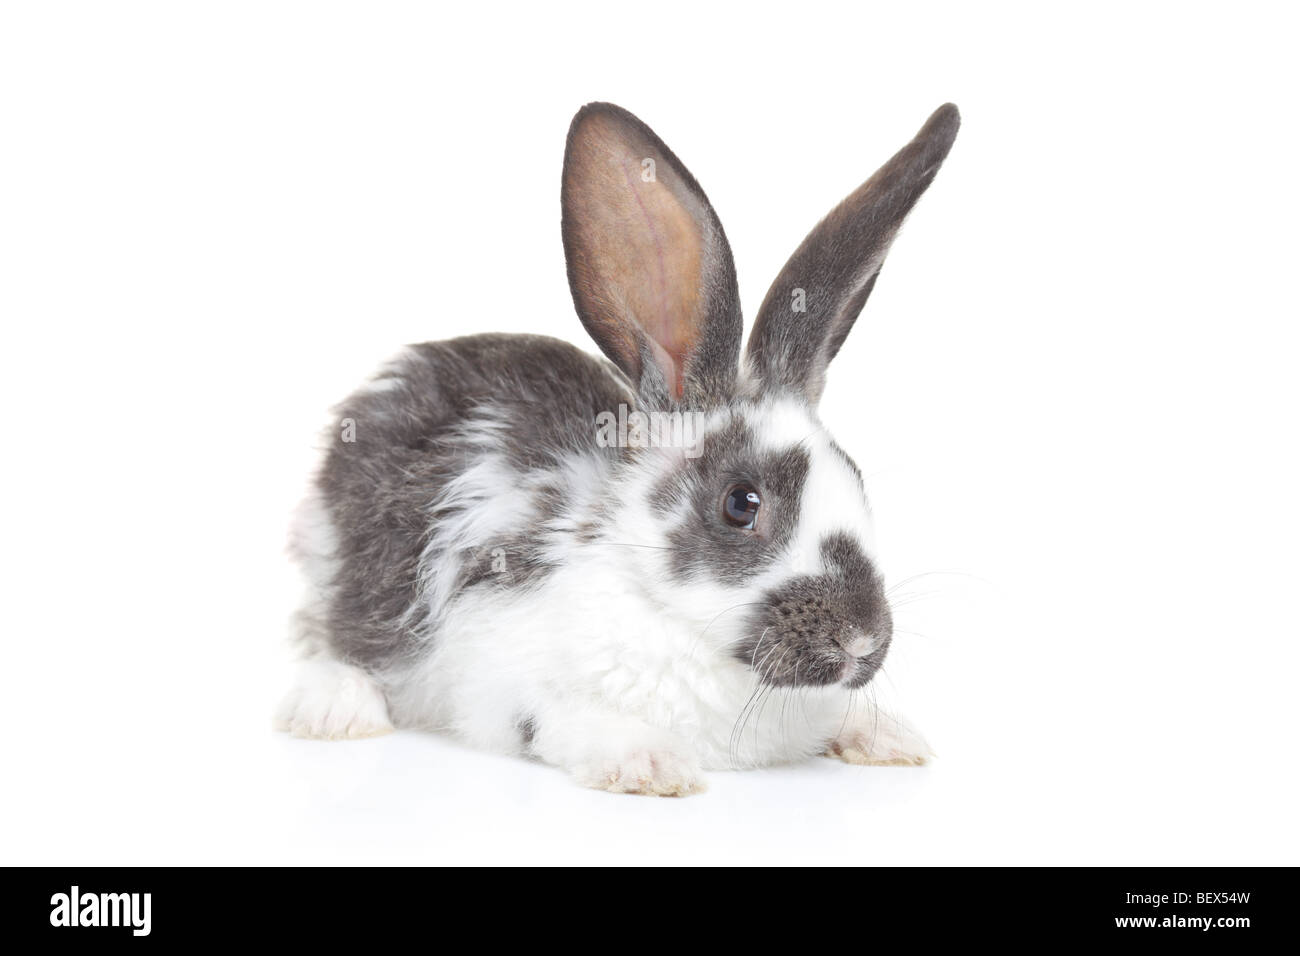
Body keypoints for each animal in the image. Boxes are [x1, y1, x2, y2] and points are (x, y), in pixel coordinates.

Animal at [279, 100, 961, 796]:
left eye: (858, 480)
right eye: (742, 504)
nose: (861, 641)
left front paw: (891, 740)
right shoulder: (507, 676)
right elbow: (567, 719)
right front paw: (653, 765)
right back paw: (337, 711)